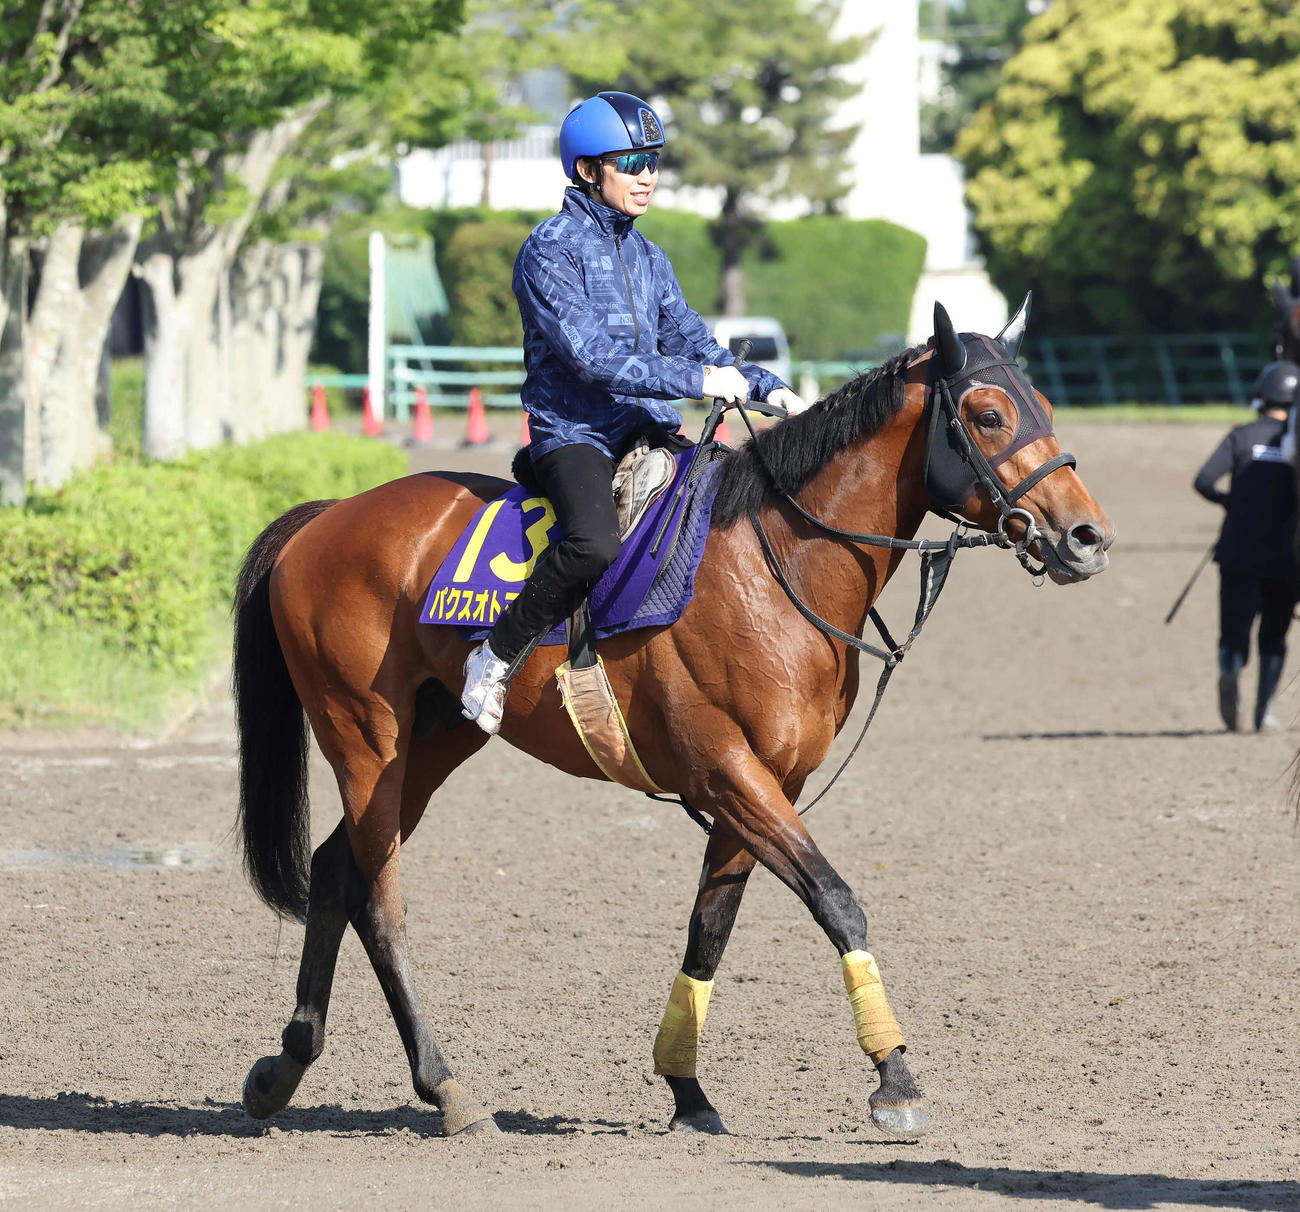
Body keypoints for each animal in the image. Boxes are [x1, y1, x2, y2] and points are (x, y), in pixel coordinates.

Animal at [232, 297, 1114, 1139]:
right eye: (989, 413)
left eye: (1043, 405)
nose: (1087, 536)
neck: (773, 562)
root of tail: (324, 517)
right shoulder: (729, 771)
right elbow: (837, 901)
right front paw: (894, 1077)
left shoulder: (766, 783)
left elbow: (709, 931)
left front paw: (688, 1089)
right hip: (364, 741)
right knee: (380, 903)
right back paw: (448, 1089)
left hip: (430, 745)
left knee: (337, 872)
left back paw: (286, 1065)